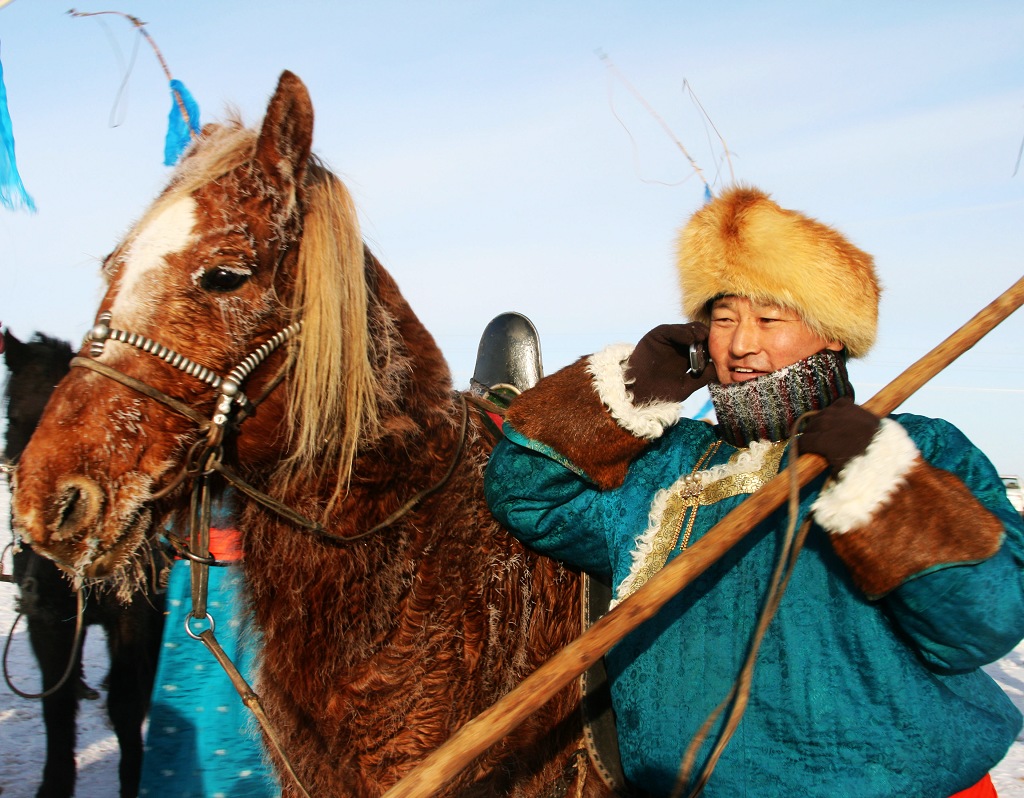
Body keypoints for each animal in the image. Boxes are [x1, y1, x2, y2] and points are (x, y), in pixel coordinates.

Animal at [4, 329, 167, 798]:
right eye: (14, 418)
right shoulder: (46, 618)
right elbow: (56, 705)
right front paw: (54, 783)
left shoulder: (133, 617)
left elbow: (126, 705)